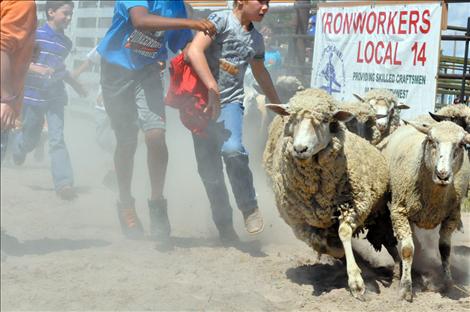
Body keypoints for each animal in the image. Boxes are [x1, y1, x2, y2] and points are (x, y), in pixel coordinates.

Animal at [262, 87, 398, 300]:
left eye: (325, 120)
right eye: (291, 119)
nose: (300, 149)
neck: (317, 191)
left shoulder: (352, 206)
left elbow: (344, 234)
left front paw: (356, 281)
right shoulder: (300, 223)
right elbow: (323, 244)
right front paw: (345, 258)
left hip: (380, 211)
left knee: (388, 240)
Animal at [382, 120, 470, 302]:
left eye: (461, 145)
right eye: (431, 140)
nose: (442, 175)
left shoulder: (452, 216)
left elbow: (445, 249)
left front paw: (448, 284)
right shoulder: (399, 212)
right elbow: (407, 249)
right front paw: (405, 288)